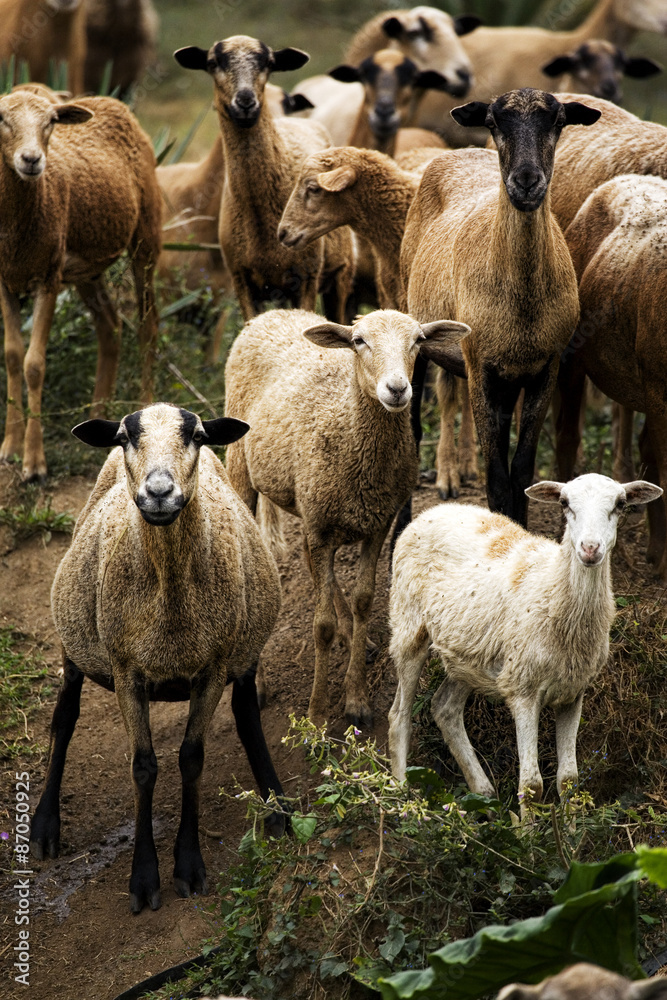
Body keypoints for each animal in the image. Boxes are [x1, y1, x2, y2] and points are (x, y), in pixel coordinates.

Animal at [30, 403, 286, 913]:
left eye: (198, 436)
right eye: (126, 437)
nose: (160, 493)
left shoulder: (213, 666)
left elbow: (191, 757)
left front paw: (188, 866)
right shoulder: (127, 669)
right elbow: (143, 766)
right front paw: (144, 879)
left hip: (244, 646)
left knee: (247, 712)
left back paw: (277, 806)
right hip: (75, 643)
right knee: (63, 718)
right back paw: (45, 826)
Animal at [388, 474, 662, 811]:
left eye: (620, 504)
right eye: (565, 503)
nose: (589, 548)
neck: (553, 589)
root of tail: (434, 511)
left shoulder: (573, 692)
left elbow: (568, 780)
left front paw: (569, 825)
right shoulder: (523, 690)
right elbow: (531, 785)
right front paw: (527, 825)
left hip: (469, 654)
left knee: (445, 709)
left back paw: (484, 795)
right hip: (408, 627)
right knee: (399, 715)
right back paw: (402, 796)